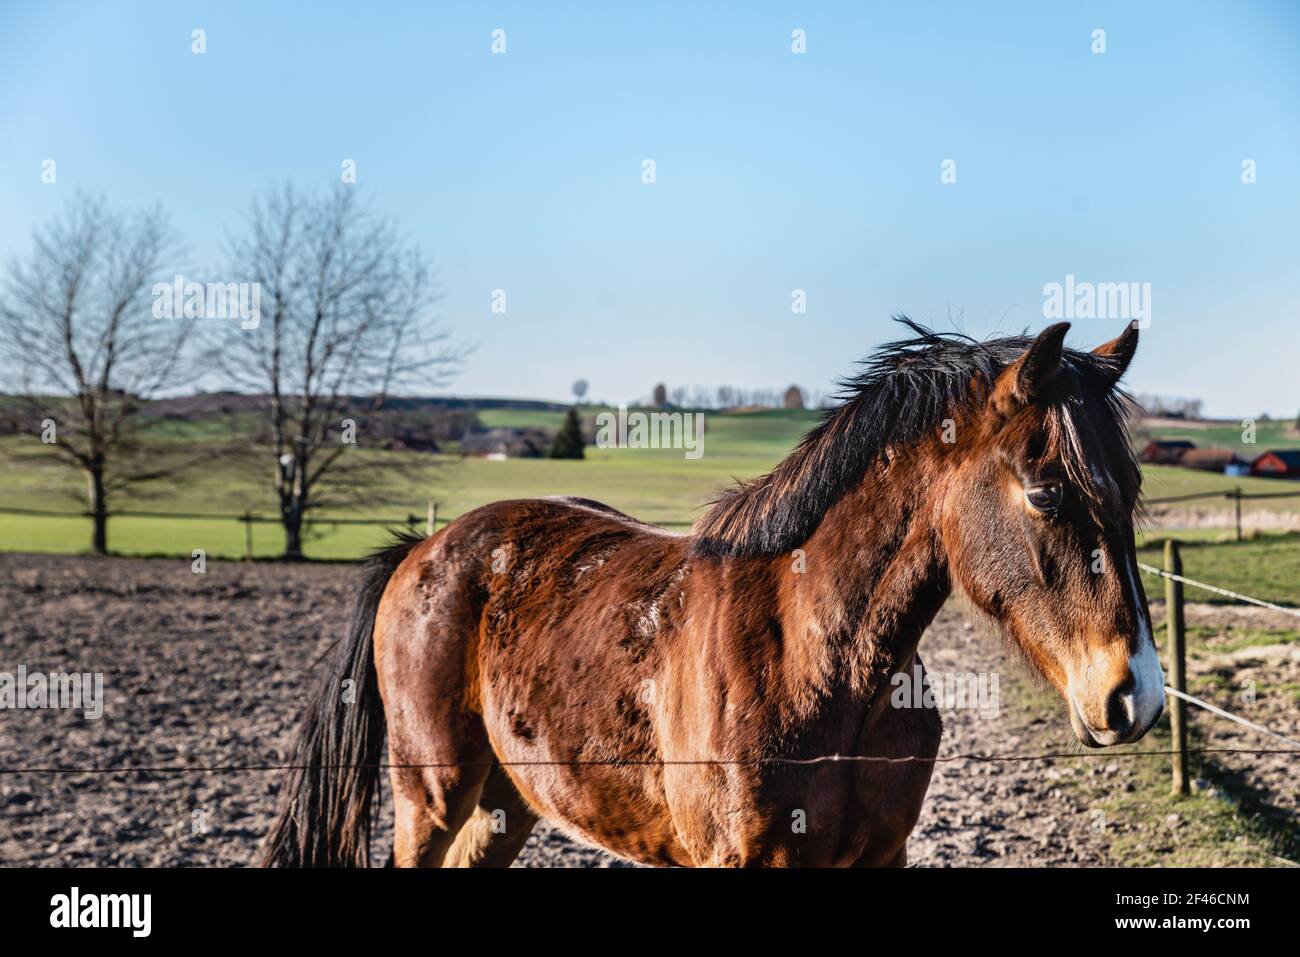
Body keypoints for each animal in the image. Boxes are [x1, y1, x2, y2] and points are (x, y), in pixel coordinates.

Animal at [262, 318, 1164, 868]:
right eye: (1047, 492)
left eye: (1130, 490)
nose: (1136, 696)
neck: (817, 661)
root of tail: (422, 549)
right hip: (433, 794)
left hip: (501, 803)